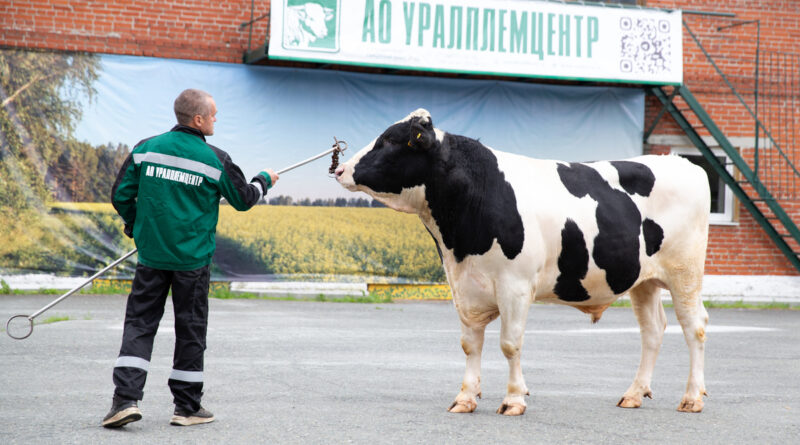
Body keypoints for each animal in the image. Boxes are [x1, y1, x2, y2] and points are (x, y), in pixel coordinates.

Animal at [334, 109, 708, 414]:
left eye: (388, 141)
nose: (340, 168)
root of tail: (682, 163)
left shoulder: (514, 286)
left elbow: (509, 344)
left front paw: (513, 399)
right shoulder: (464, 286)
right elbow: (470, 344)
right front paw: (465, 398)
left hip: (685, 272)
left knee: (695, 326)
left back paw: (692, 397)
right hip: (644, 280)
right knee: (652, 330)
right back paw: (634, 393)